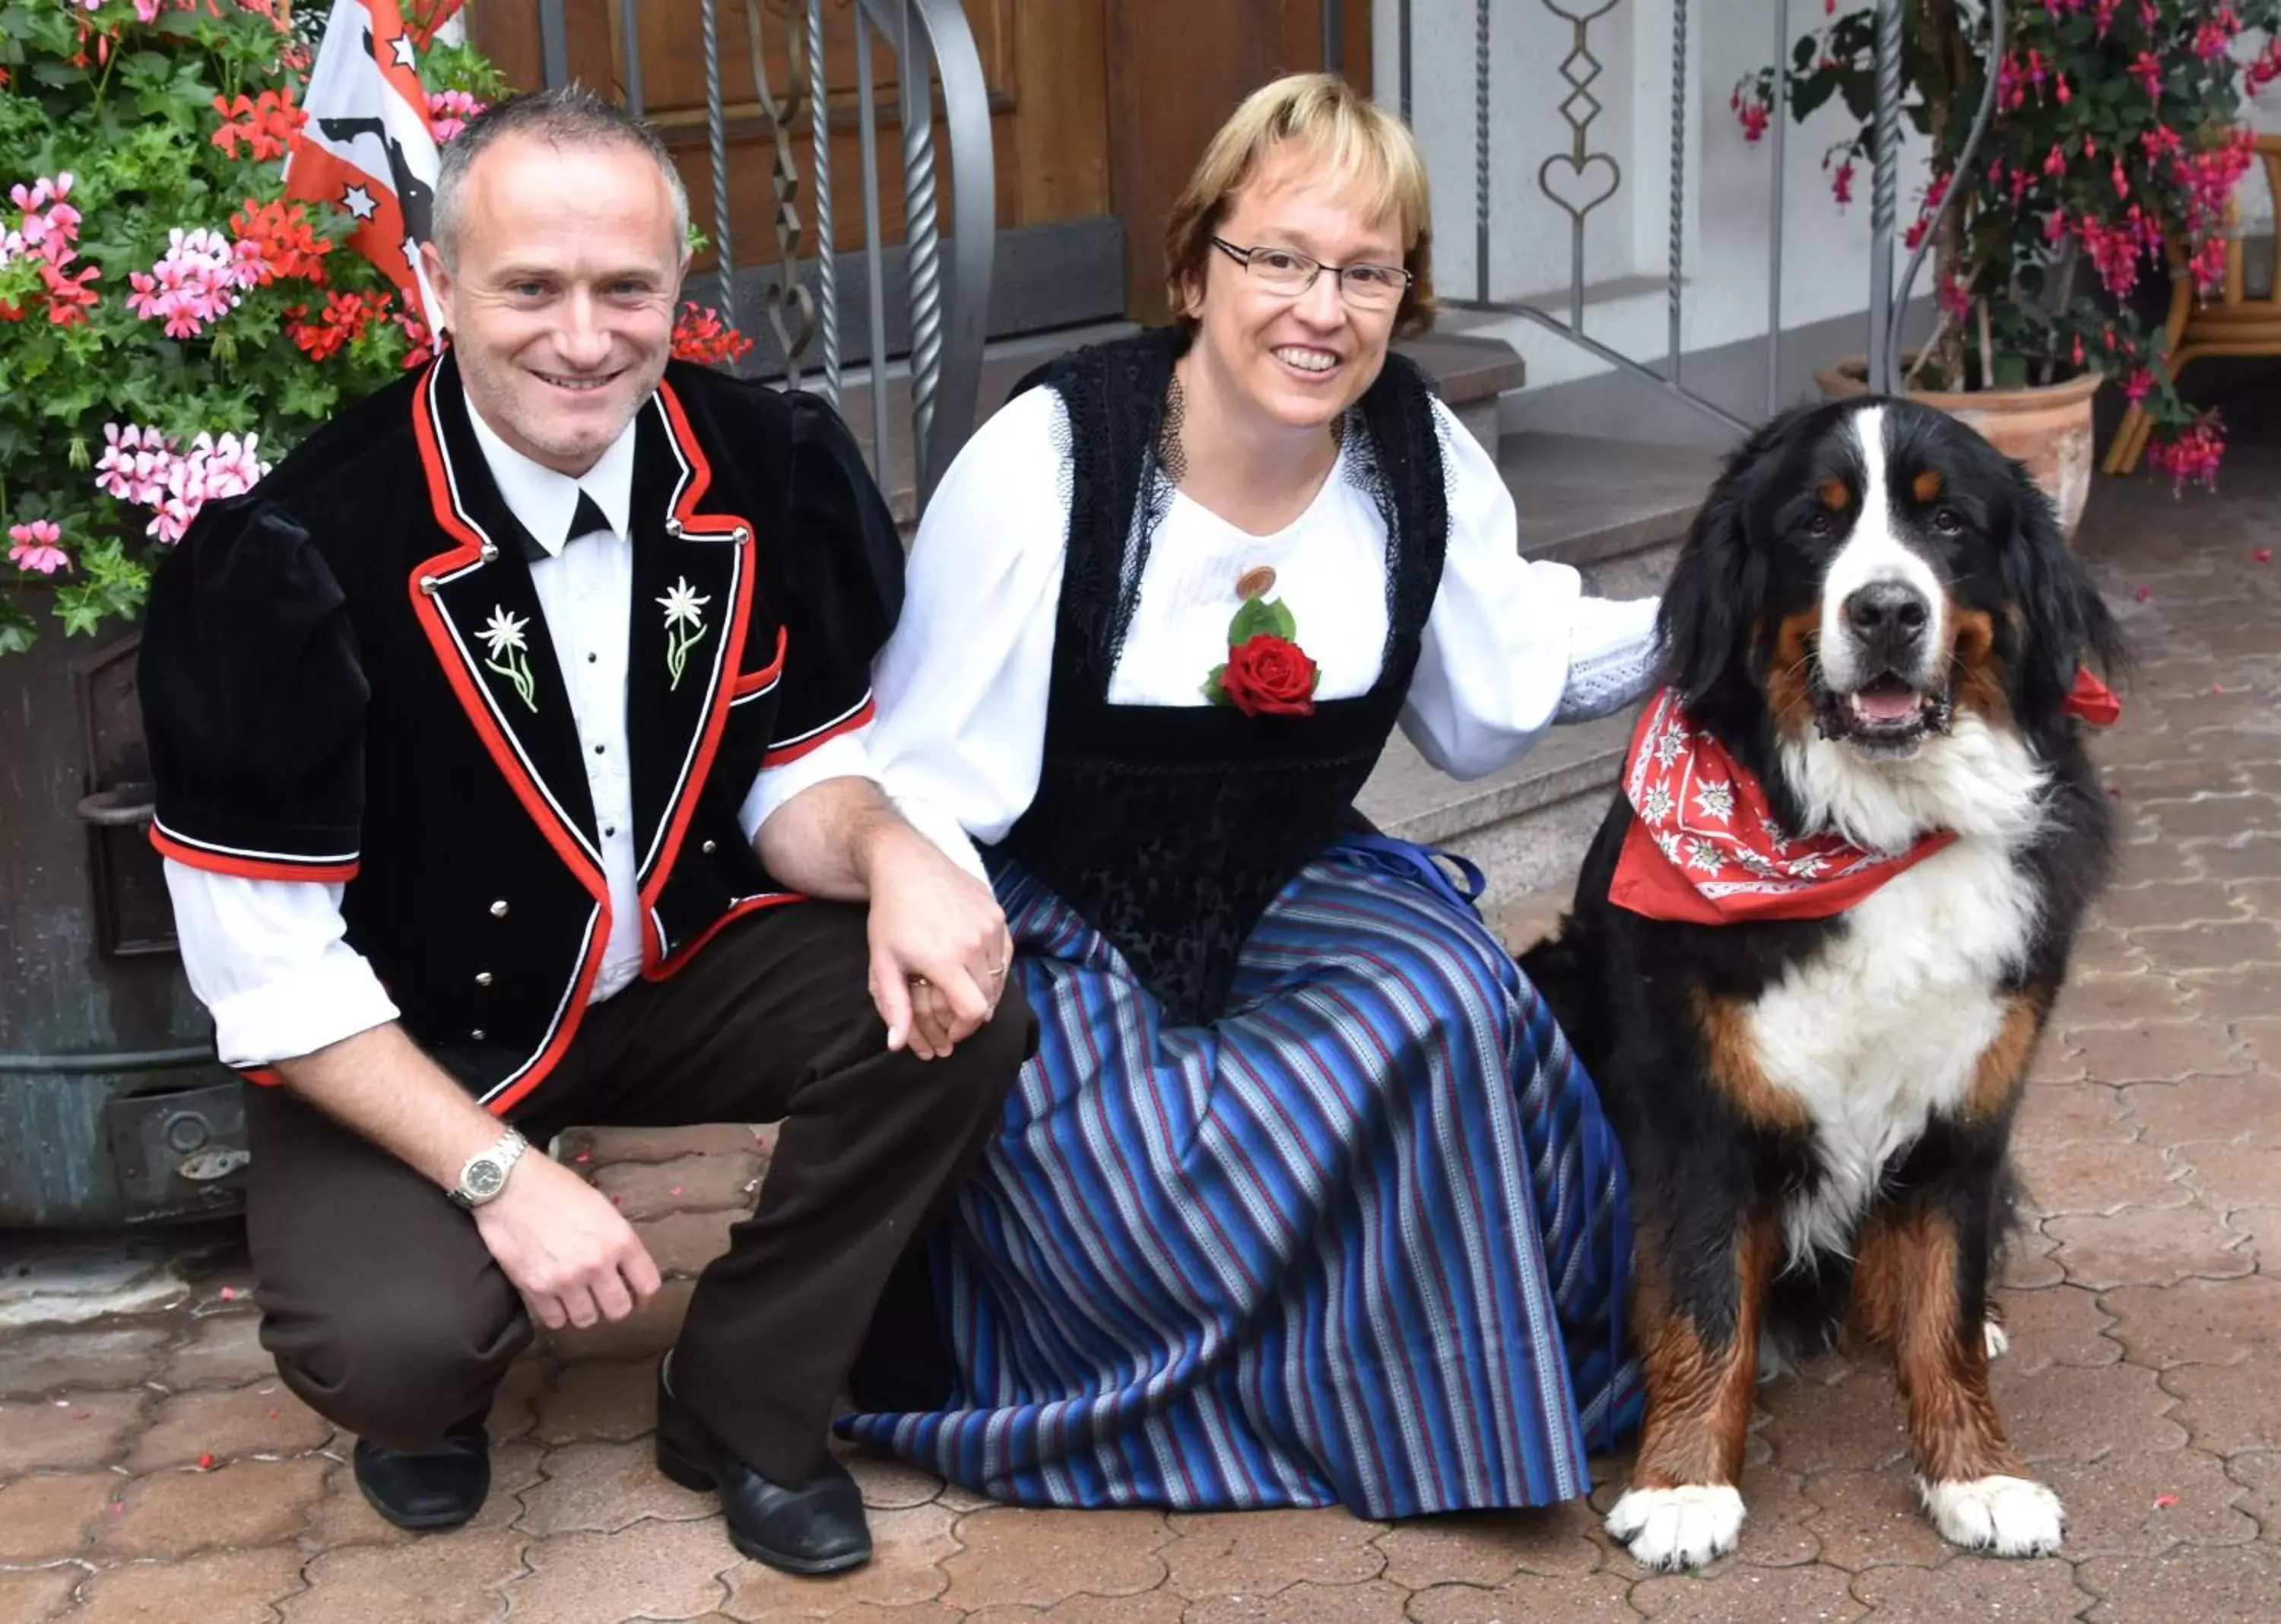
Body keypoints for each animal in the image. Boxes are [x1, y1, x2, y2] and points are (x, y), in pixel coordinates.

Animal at [1524, 392, 2126, 1569]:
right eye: (1815, 522)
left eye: (1949, 525)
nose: (1887, 610)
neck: (1870, 830)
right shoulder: (1695, 1102)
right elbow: (1704, 1296)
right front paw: (1685, 1486)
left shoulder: (1969, 1099)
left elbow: (1944, 1305)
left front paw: (1979, 1475)